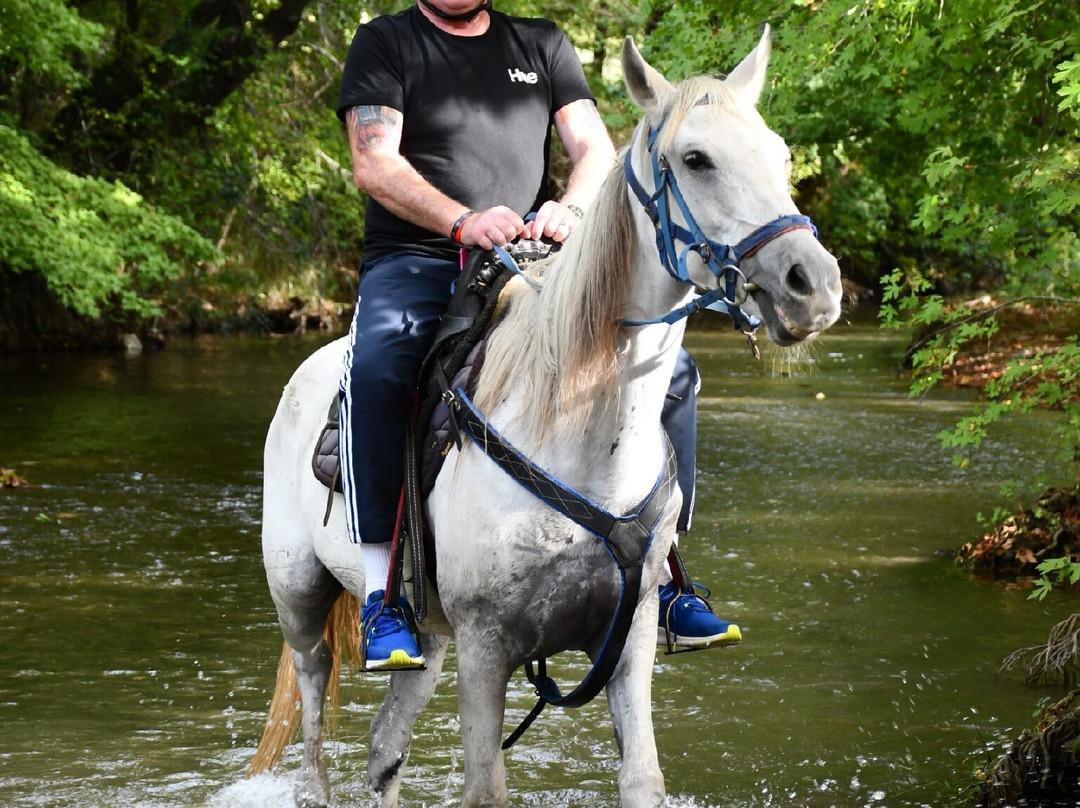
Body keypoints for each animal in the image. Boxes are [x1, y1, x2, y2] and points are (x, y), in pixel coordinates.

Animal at [249, 27, 841, 808]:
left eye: (780, 154)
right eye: (695, 159)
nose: (814, 284)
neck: (579, 441)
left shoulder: (629, 638)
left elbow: (642, 777)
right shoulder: (485, 647)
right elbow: (485, 787)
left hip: (428, 639)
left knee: (384, 749)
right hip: (301, 599)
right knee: (315, 710)